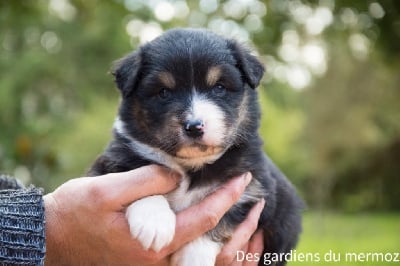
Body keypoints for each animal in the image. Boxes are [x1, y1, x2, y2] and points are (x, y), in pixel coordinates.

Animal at [88, 28, 304, 264]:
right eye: (163, 92)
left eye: (219, 87)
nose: (194, 126)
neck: (190, 166)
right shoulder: (108, 165)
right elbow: (138, 178)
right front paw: (154, 223)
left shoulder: (254, 189)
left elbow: (220, 220)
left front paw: (193, 257)